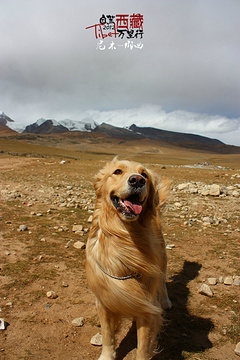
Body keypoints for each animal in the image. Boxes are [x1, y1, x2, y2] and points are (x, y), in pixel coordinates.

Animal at [85, 158, 172, 360]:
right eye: (117, 171)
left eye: (144, 174)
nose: (137, 180)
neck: (124, 240)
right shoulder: (104, 299)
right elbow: (107, 335)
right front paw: (107, 355)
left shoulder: (147, 308)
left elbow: (143, 347)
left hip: (162, 258)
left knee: (162, 280)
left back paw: (165, 301)